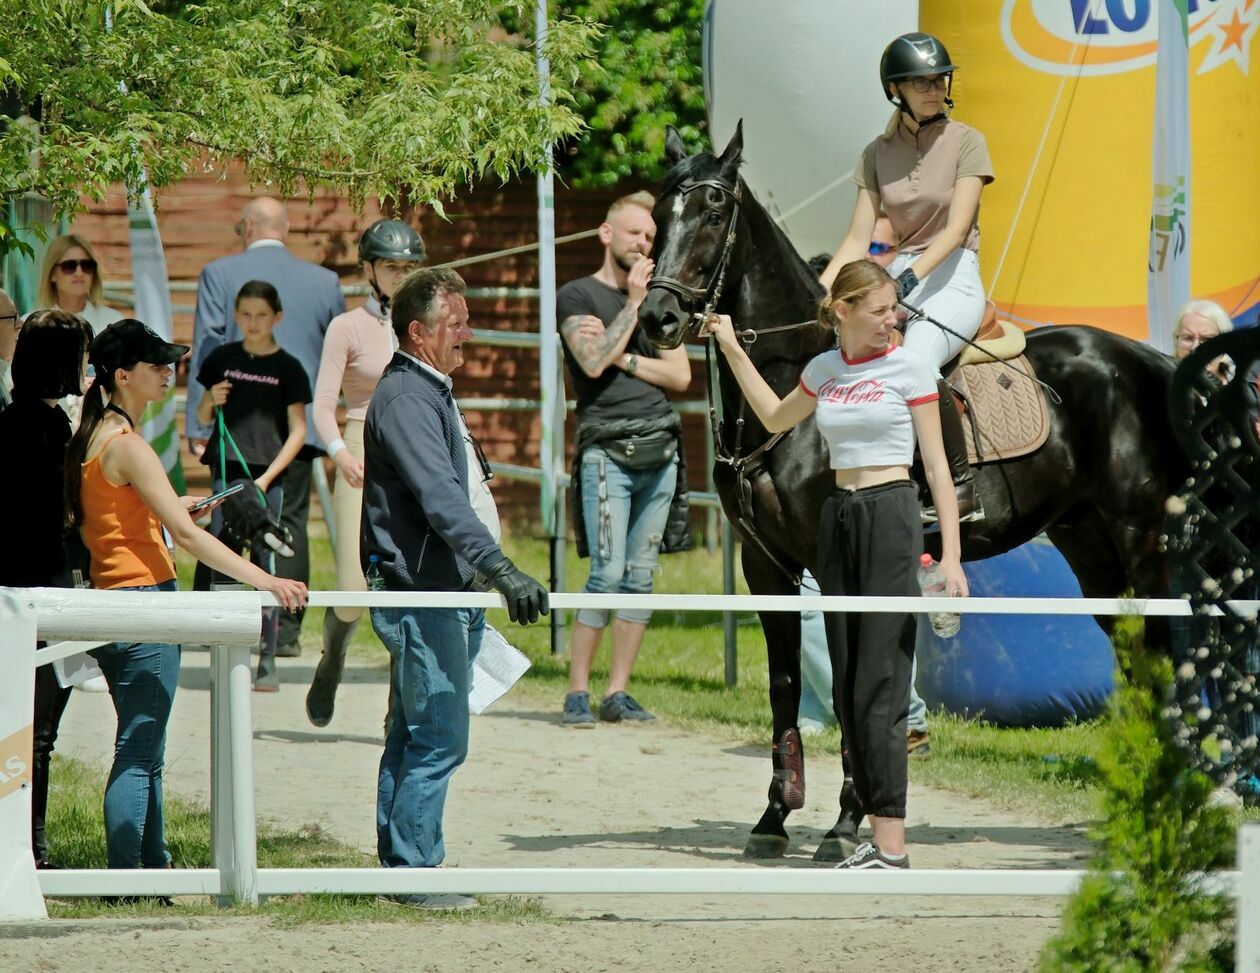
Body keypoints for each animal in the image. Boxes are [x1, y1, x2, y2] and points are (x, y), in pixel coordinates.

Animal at [640, 123, 1189, 857]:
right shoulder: (766, 567)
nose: (658, 318)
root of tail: (1149, 361)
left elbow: (852, 683)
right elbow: (785, 684)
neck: (791, 396)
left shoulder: (837, 563)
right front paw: (775, 817)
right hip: (1091, 545)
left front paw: (846, 824)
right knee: (1137, 655)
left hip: (1142, 538)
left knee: (1164, 651)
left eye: (713, 210)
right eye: (655, 214)